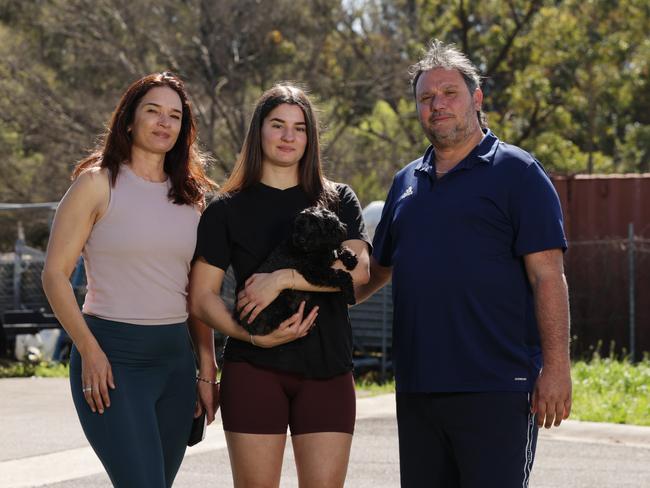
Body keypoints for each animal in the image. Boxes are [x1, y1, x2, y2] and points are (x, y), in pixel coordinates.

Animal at [238, 206, 356, 336]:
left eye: (315, 225)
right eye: (298, 226)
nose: (300, 239)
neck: (317, 249)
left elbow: (340, 248)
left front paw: (351, 260)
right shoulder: (314, 271)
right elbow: (340, 275)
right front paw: (350, 294)